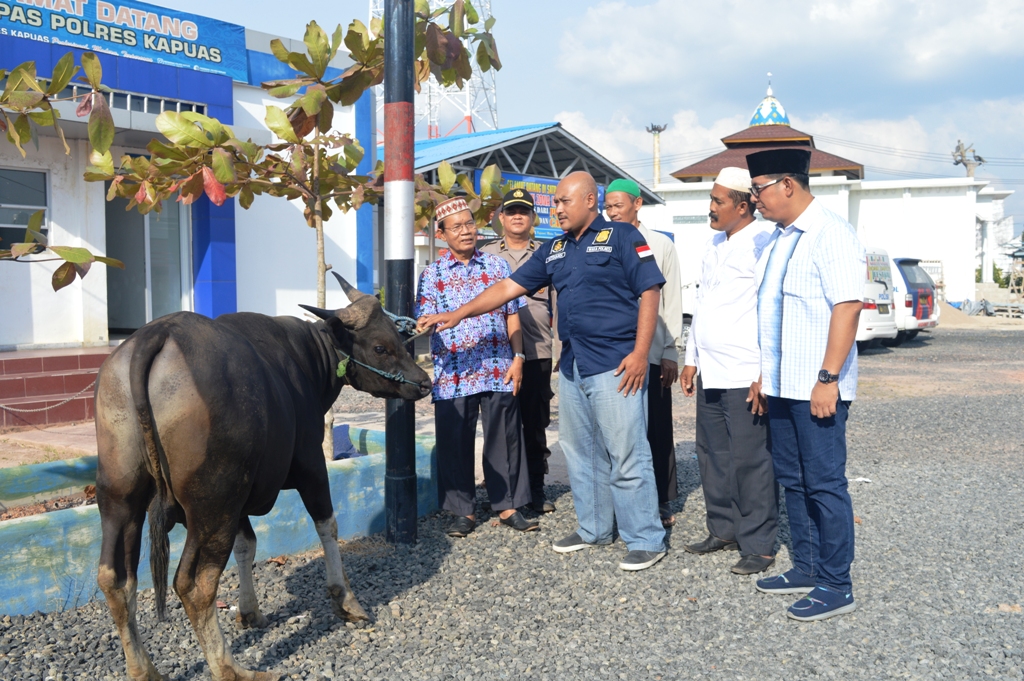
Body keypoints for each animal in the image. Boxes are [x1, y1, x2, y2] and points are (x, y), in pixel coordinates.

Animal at [95, 274, 432, 675]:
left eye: (399, 339)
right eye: (381, 346)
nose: (424, 382)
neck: (308, 360)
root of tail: (156, 335)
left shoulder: (242, 496)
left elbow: (247, 545)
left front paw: (249, 611)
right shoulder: (310, 465)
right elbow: (327, 525)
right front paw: (346, 600)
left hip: (122, 498)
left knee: (115, 579)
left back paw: (144, 670)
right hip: (213, 504)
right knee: (195, 585)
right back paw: (231, 670)